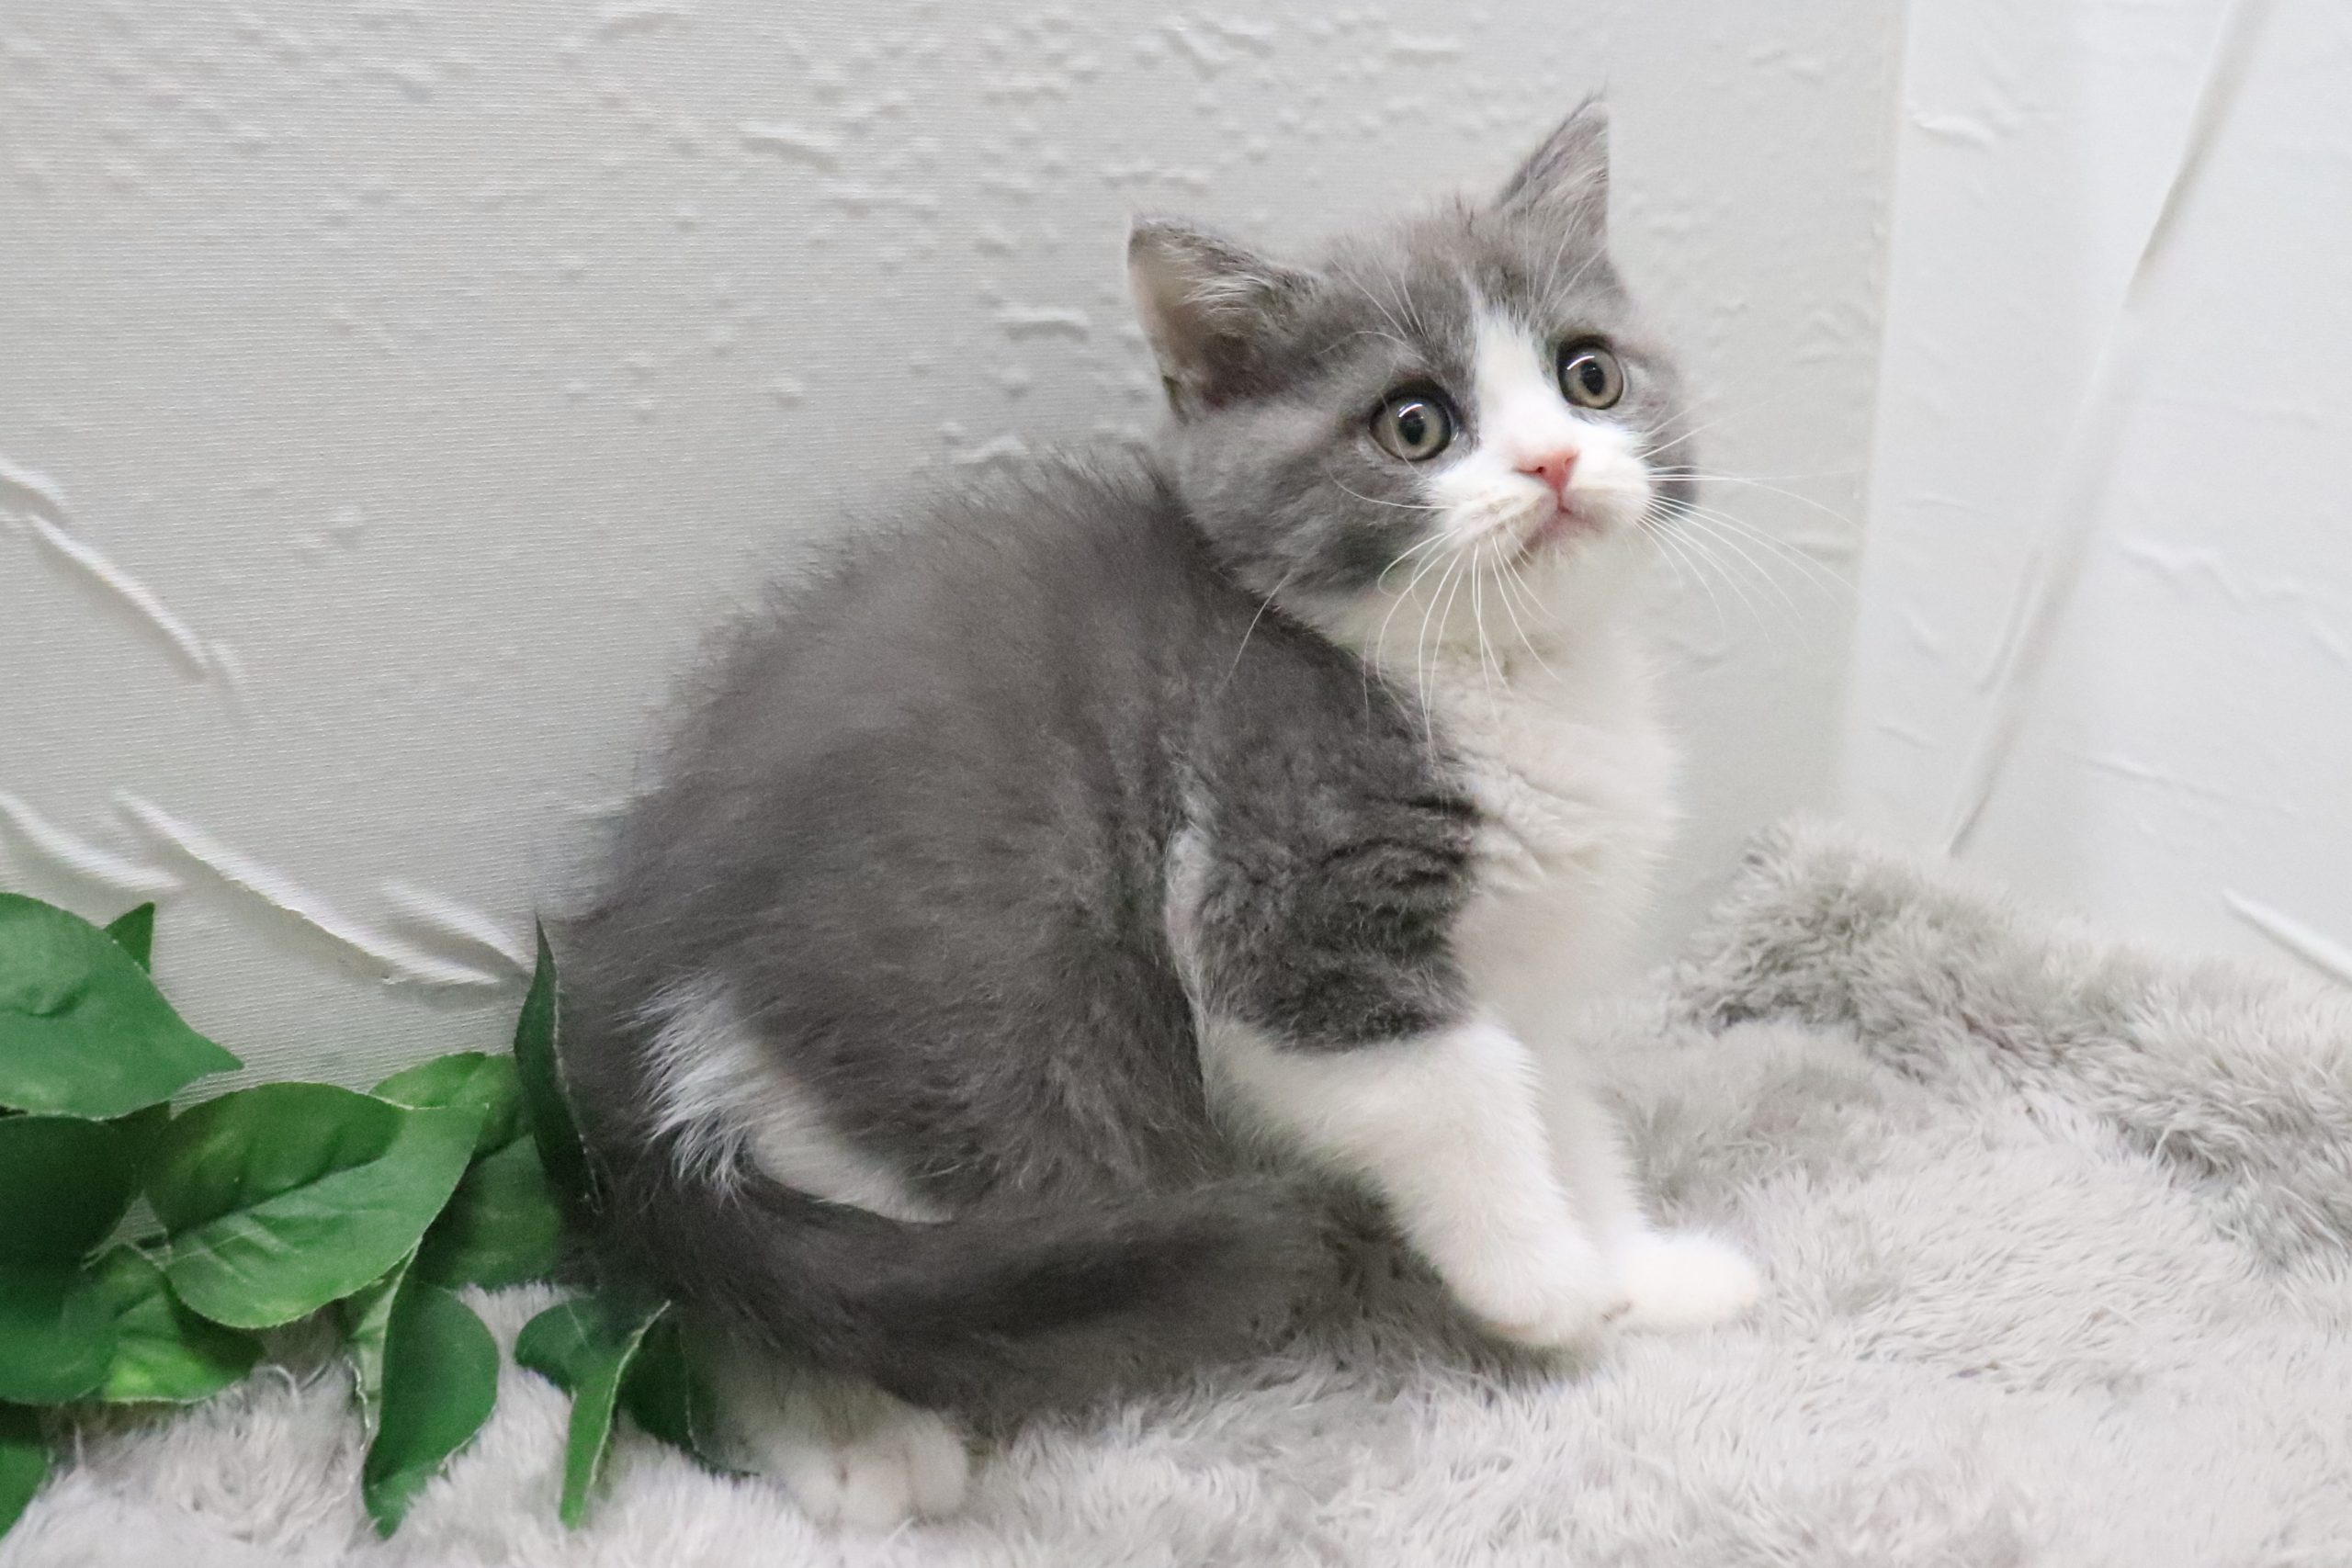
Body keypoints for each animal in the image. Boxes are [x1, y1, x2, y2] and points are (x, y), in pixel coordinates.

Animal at [559, 99, 1760, 1530]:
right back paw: (853, 1439)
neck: (1508, 676)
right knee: (796, 1277)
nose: (1558, 460)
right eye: (1415, 425)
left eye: (1589, 376)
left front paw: (1639, 1273)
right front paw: (1545, 1287)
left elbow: (1560, 1109)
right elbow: (1456, 1090)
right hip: (969, 1043)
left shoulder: (1520, 976)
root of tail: (636, 962)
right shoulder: (1273, 895)